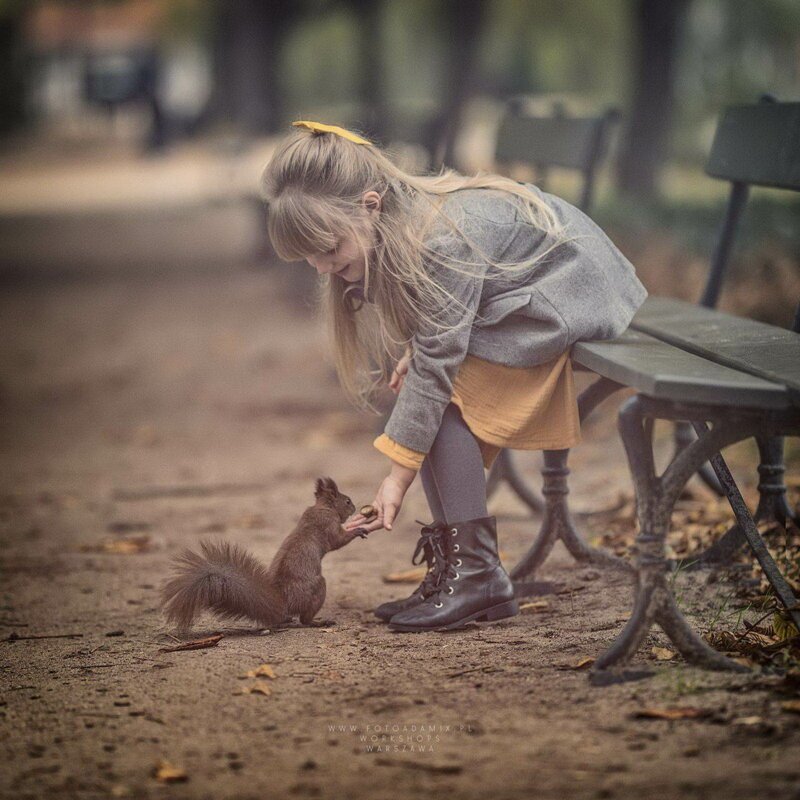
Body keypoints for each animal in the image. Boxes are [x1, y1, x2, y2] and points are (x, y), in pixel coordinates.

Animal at [160, 476, 372, 632]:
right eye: (347, 501)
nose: (354, 508)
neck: (323, 507)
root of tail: (282, 603)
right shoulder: (327, 525)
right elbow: (337, 541)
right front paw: (357, 530)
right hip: (317, 588)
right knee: (304, 619)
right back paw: (318, 622)